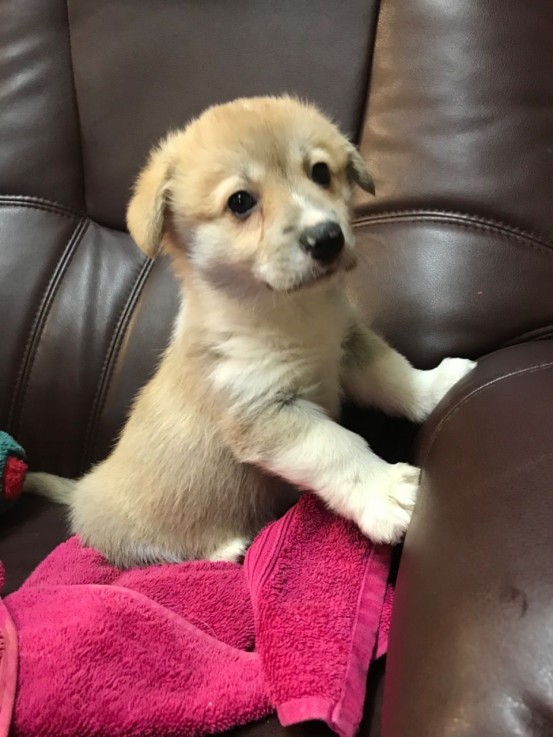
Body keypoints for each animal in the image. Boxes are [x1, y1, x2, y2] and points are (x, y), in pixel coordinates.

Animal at [27, 92, 474, 564]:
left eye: (320, 172)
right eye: (240, 201)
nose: (328, 238)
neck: (289, 313)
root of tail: (84, 487)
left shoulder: (349, 345)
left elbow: (395, 376)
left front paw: (439, 385)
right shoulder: (265, 412)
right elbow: (337, 447)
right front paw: (384, 492)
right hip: (133, 537)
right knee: (158, 552)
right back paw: (227, 548)